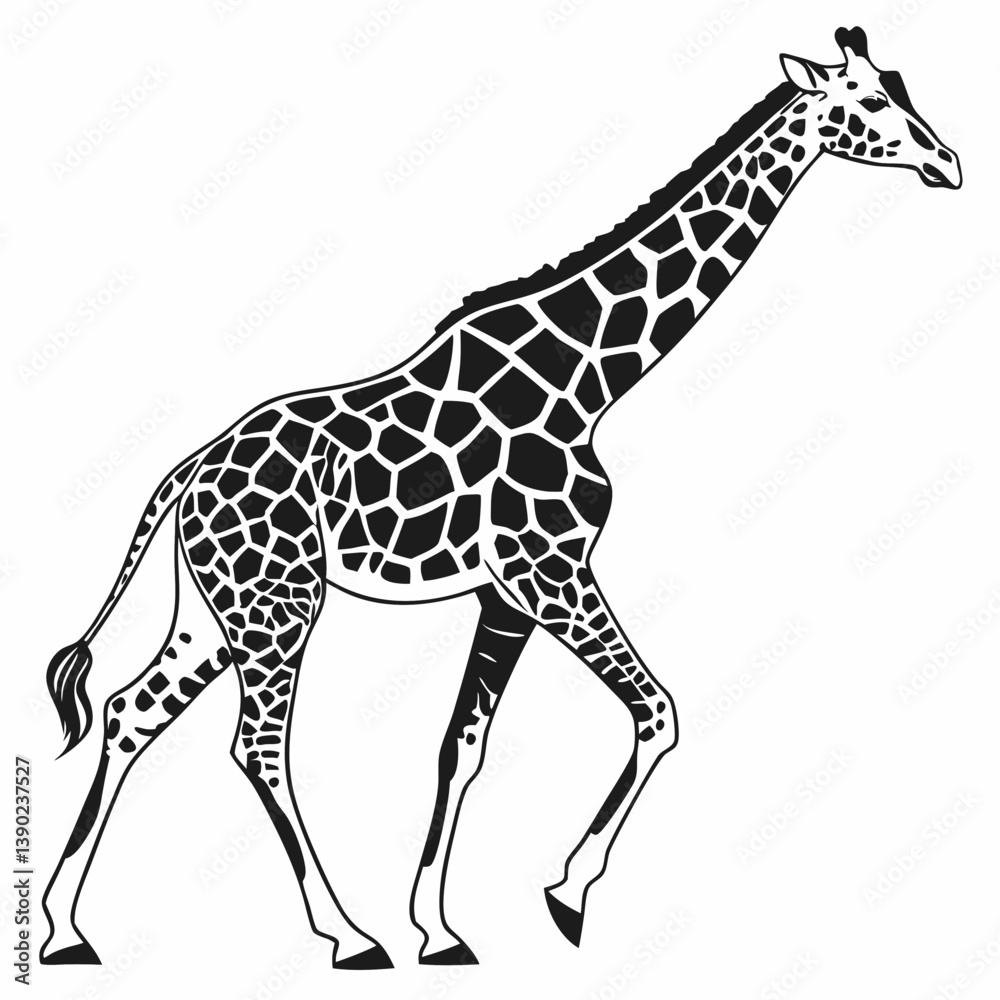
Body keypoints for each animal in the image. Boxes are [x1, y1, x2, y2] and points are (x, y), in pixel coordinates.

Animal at [41, 26, 960, 969]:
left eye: (901, 84)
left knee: (130, 712)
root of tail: (186, 473)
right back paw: (347, 935)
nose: (950, 163)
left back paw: (66, 928)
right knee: (256, 747)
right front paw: (565, 895)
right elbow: (658, 711)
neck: (589, 377)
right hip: (277, 604)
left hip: (215, 608)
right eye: (871, 101)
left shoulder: (506, 593)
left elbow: (463, 745)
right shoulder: (549, 569)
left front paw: (440, 929)